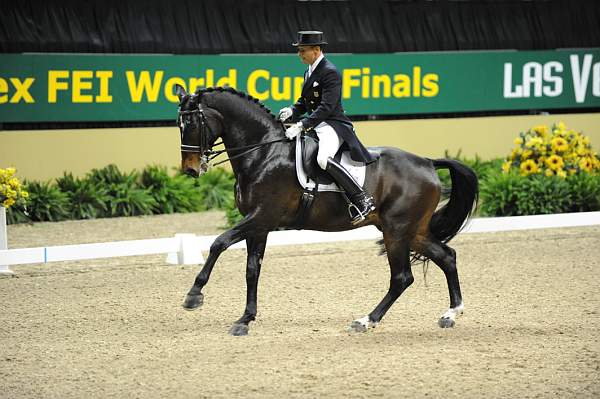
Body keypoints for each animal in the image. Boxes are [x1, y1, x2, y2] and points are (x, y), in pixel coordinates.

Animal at [175, 85, 478, 338]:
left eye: (192, 123)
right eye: (179, 124)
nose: (190, 170)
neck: (263, 154)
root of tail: (427, 162)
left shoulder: (262, 216)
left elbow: (219, 242)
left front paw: (194, 295)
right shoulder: (259, 225)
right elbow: (252, 269)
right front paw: (245, 320)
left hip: (397, 230)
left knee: (402, 277)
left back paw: (365, 321)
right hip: (410, 231)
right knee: (446, 257)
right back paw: (451, 314)